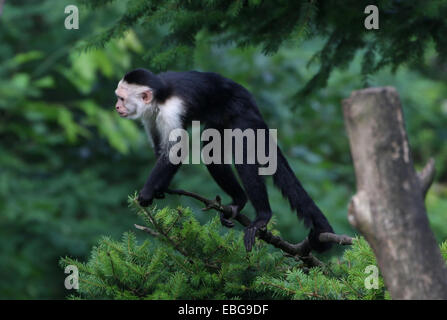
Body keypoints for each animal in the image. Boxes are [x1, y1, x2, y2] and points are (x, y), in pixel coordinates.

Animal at [114, 68, 334, 252]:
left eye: (121, 98)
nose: (116, 107)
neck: (159, 98)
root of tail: (249, 98)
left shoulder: (170, 110)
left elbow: (176, 150)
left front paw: (147, 191)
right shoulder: (150, 116)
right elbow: (161, 149)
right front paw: (160, 188)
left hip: (241, 113)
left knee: (245, 158)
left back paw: (262, 217)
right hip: (220, 118)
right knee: (211, 150)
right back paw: (238, 201)